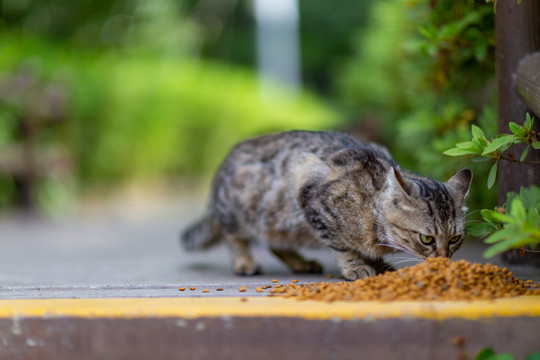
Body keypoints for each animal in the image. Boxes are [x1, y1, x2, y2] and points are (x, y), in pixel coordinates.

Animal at [179, 131, 470, 280]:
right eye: (426, 239)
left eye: (455, 239)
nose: (444, 260)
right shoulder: (312, 195)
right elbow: (342, 245)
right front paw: (356, 266)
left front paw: (377, 263)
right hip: (240, 211)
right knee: (235, 237)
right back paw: (244, 261)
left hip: (283, 224)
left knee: (276, 243)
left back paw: (301, 263)